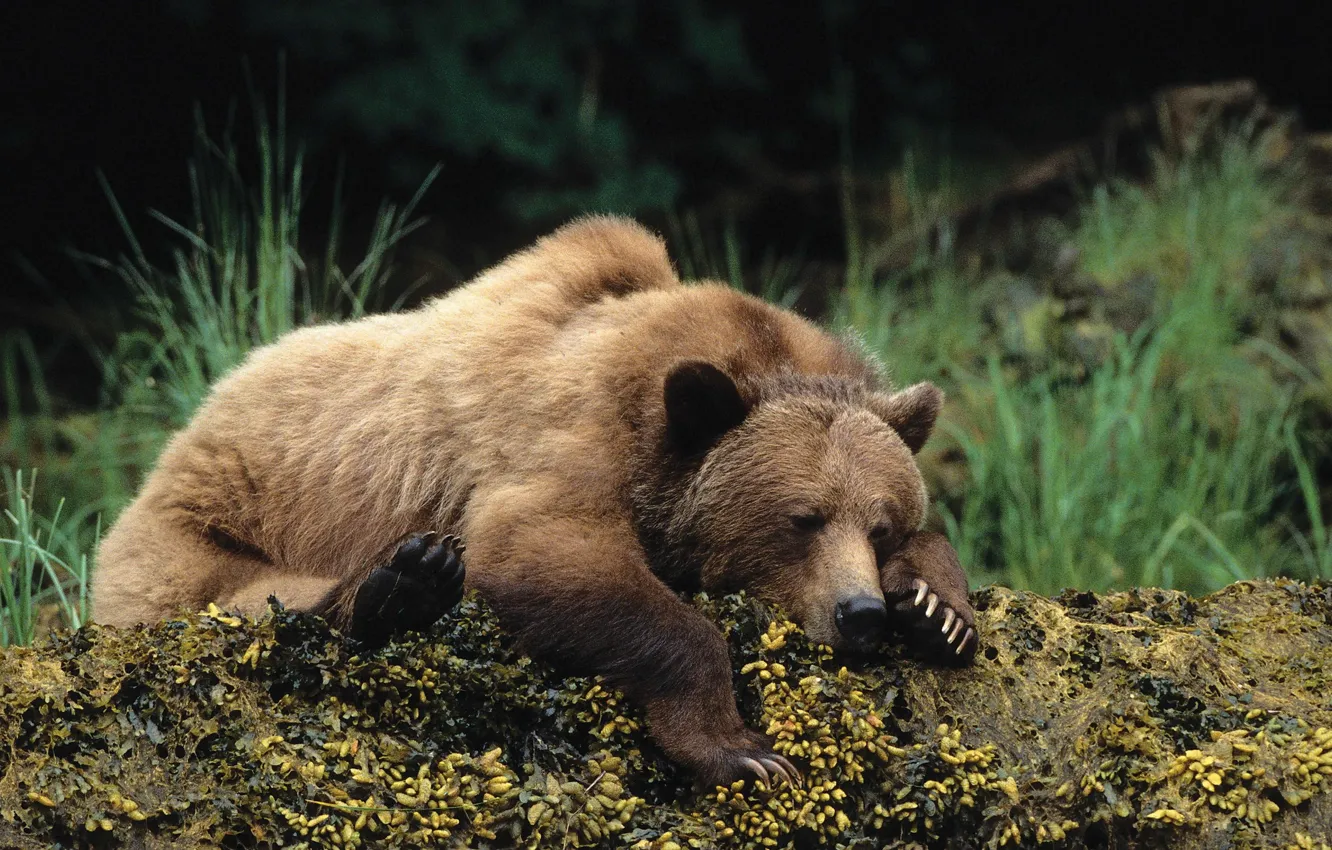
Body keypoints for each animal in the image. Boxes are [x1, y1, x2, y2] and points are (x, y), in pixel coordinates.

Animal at [92, 216, 978, 787]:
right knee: (252, 599)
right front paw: (743, 748)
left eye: (881, 523)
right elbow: (542, 550)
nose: (860, 614)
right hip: (190, 536)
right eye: (801, 520)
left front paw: (938, 609)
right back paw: (402, 583)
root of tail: (188, 425)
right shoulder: (573, 437)